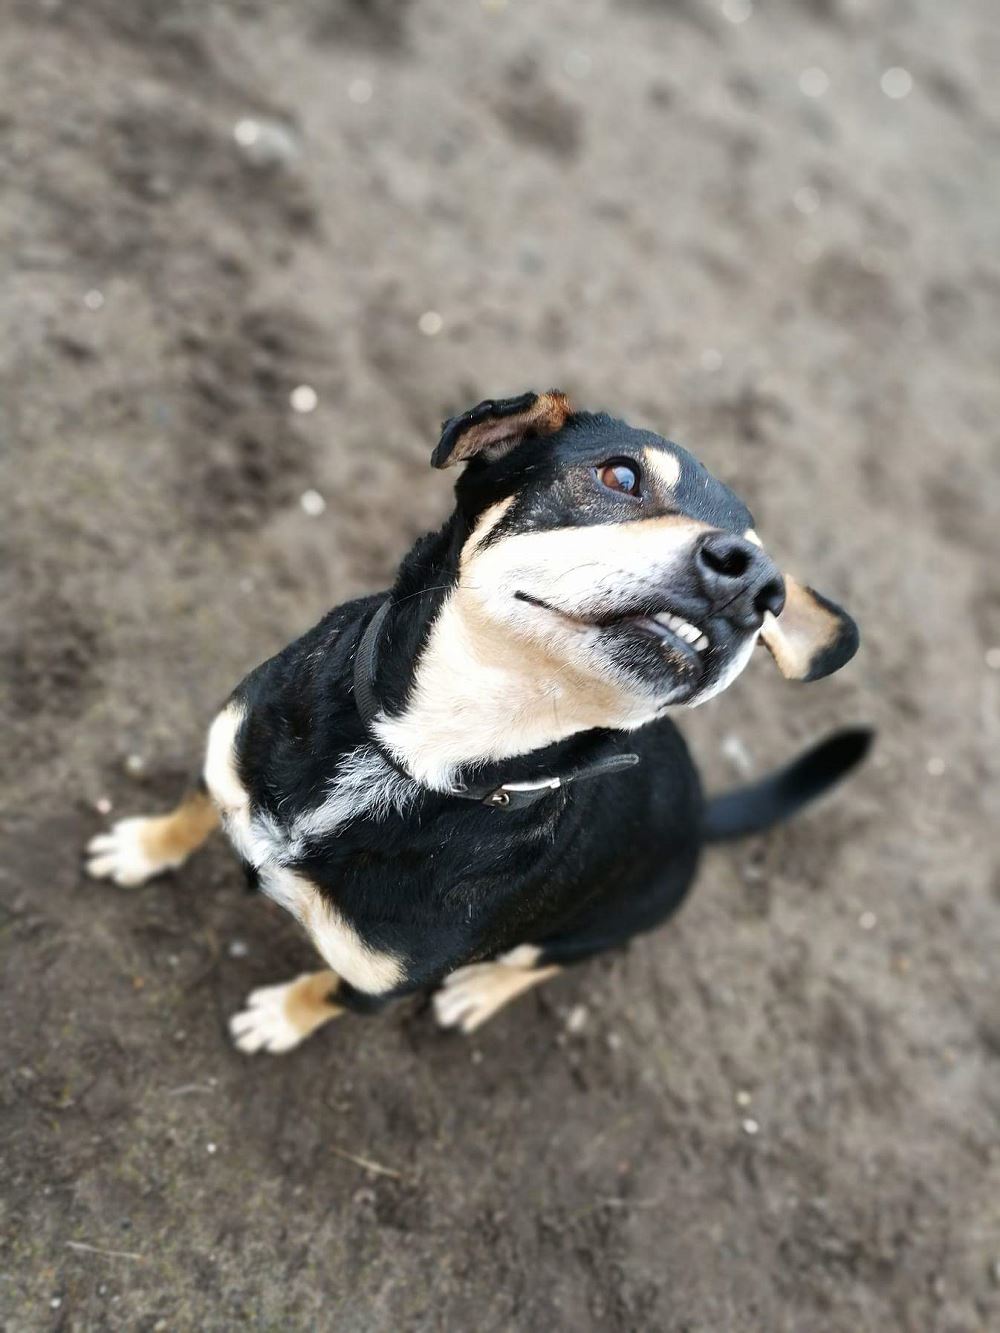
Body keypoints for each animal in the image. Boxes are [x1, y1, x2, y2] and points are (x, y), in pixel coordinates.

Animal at [86, 391, 870, 1052]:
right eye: (621, 476)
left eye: (772, 601)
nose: (760, 586)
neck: (416, 757)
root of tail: (703, 814)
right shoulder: (229, 753)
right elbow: (193, 809)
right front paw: (145, 847)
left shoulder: (377, 983)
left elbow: (320, 993)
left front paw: (280, 1018)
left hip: (596, 926)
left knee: (538, 962)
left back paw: (482, 989)